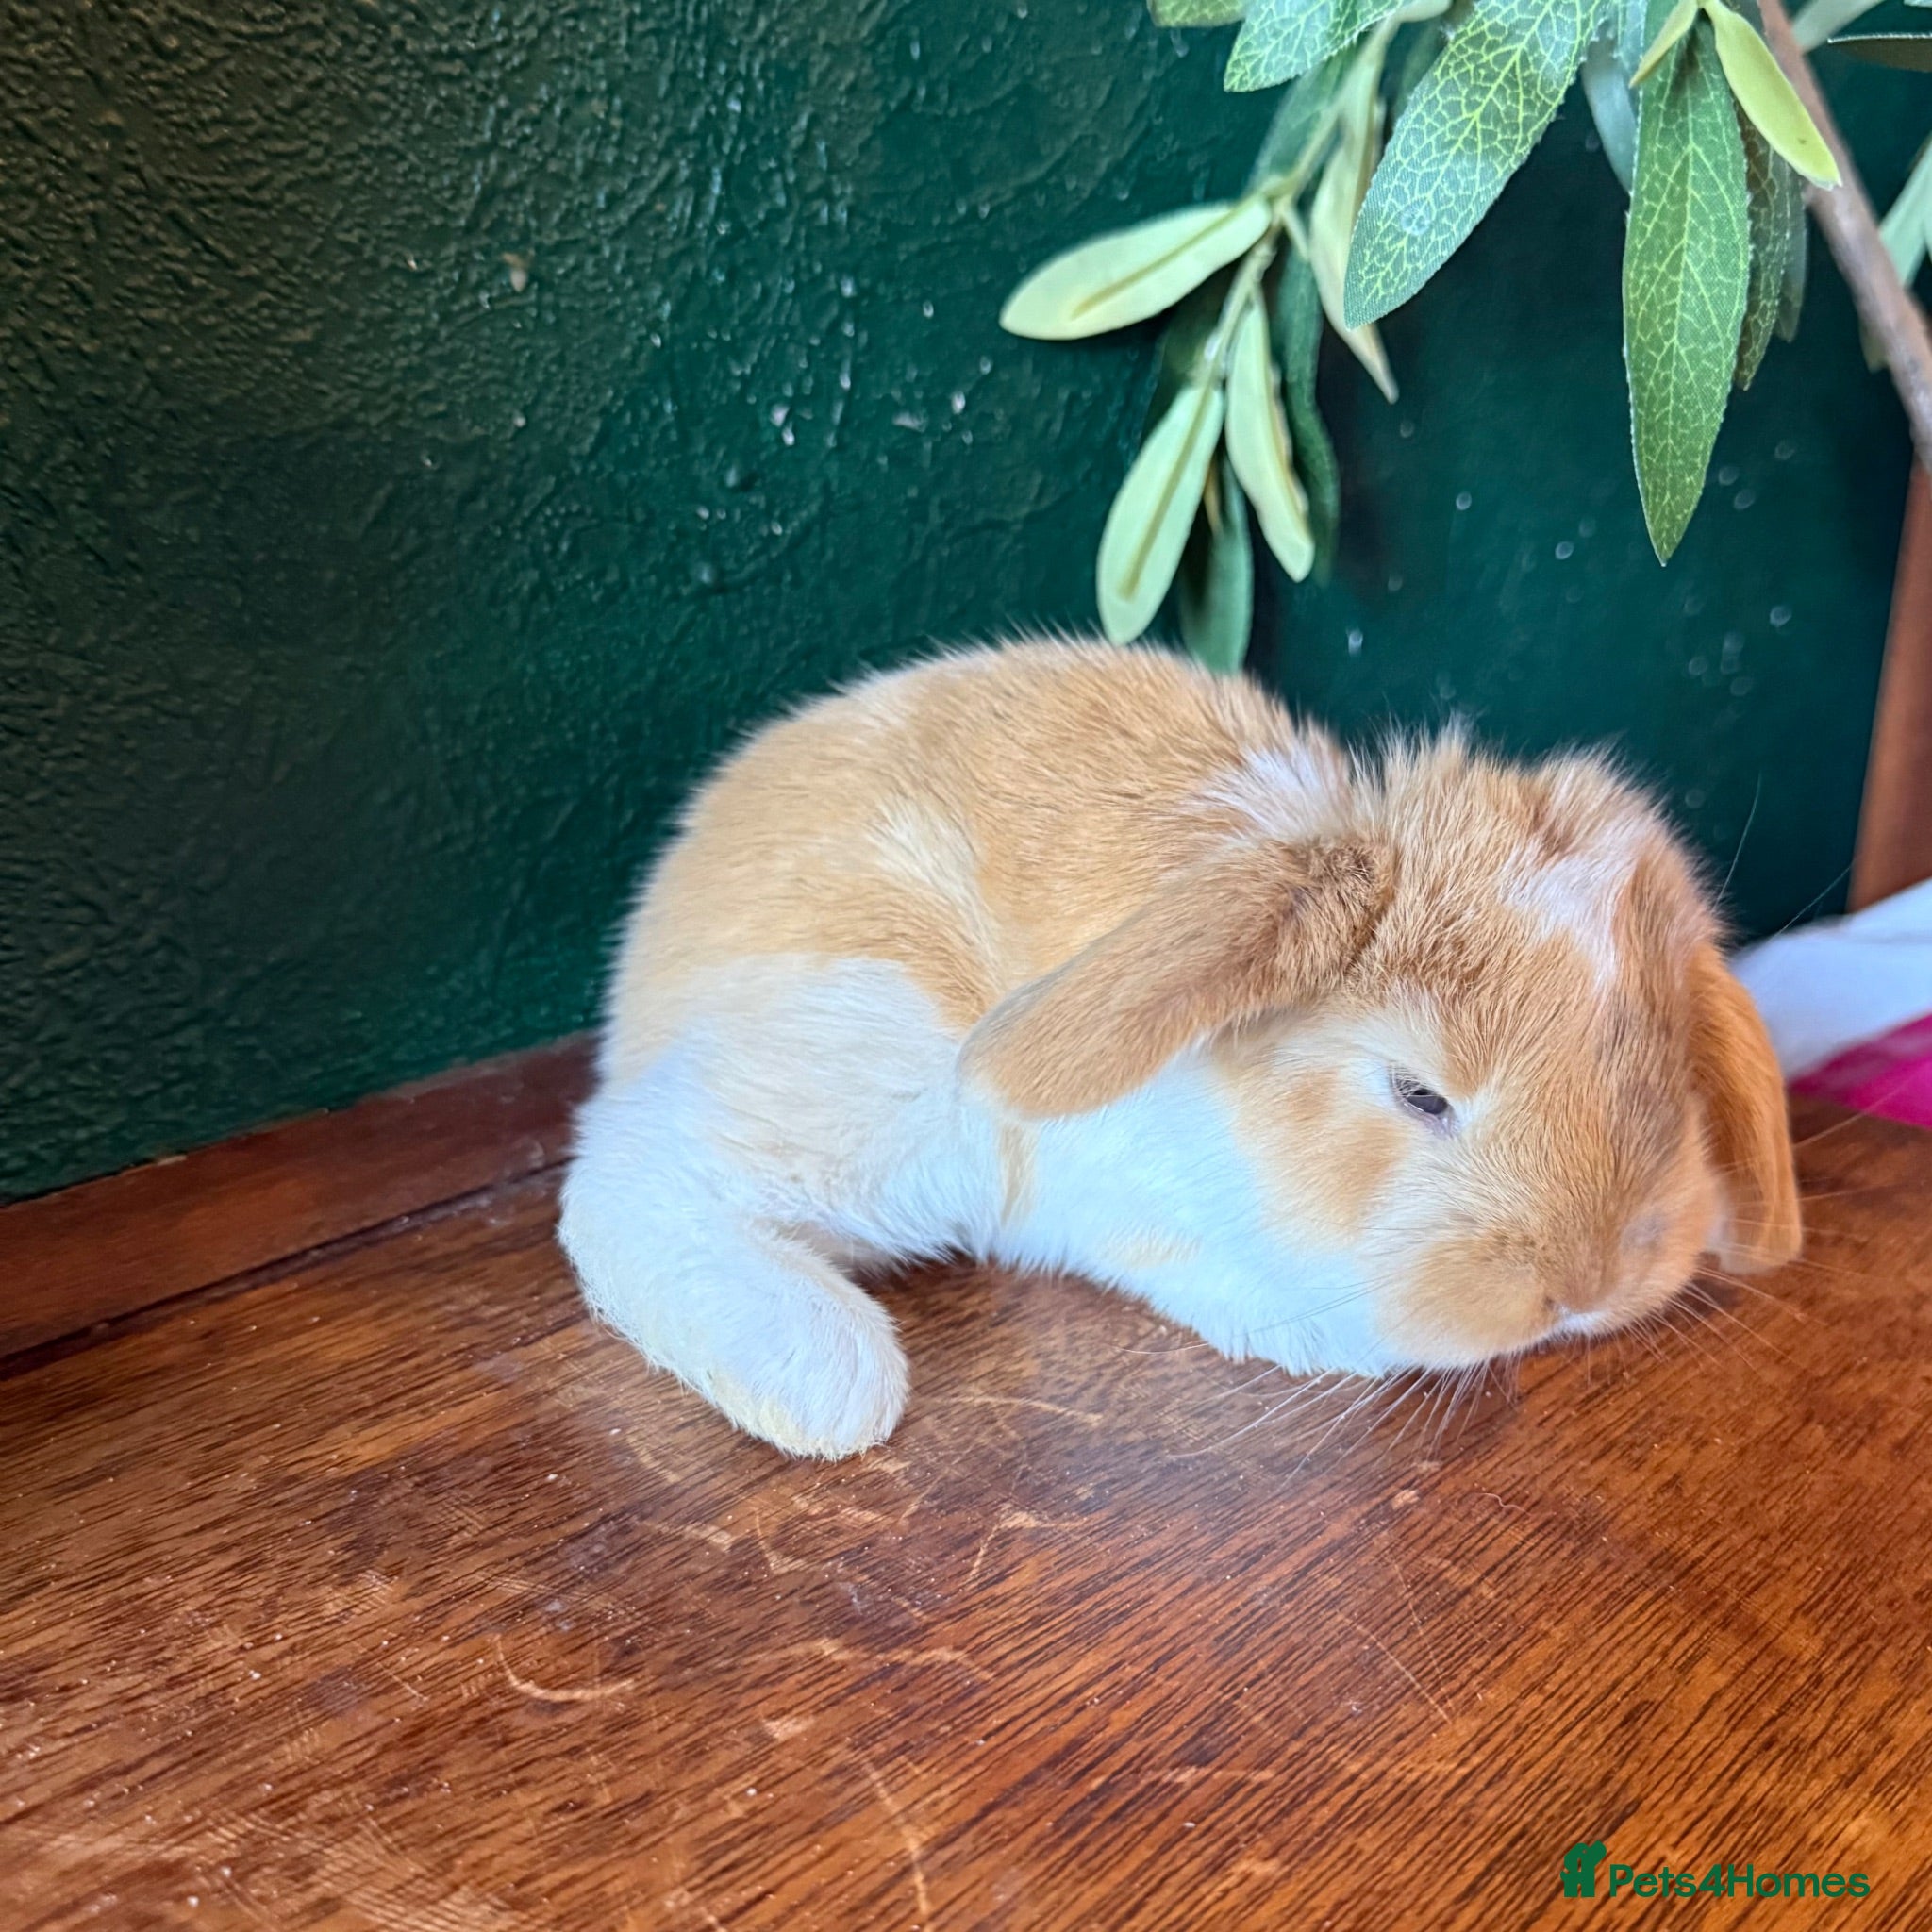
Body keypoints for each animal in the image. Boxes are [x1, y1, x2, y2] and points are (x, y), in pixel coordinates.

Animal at [558, 639, 1800, 1458]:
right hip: (878, 1076)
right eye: (1417, 1093)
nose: (1588, 1287)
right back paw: (827, 1378)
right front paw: (1344, 1345)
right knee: (622, 1177)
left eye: (1662, 1082)